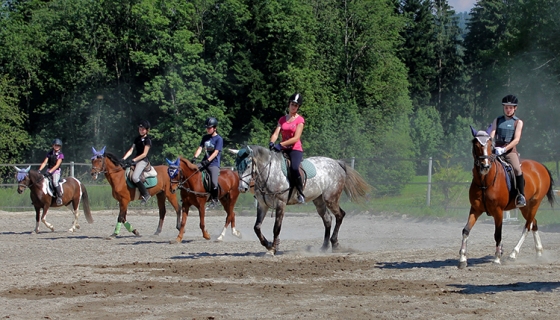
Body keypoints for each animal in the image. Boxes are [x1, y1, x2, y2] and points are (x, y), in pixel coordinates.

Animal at [230, 145, 370, 255]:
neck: (269, 173)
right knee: (327, 219)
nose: (242, 188)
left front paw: (273, 249)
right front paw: (268, 244)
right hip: (319, 200)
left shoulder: (281, 204)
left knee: (340, 215)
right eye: (237, 165)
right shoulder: (262, 205)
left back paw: (335, 244)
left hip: (330, 198)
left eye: (248, 165)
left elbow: (276, 228)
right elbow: (257, 227)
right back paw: (324, 247)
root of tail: (337, 163)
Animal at [460, 126, 556, 268]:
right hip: (524, 207)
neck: (485, 181)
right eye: (476, 144)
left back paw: (513, 254)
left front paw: (497, 258)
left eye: (490, 144)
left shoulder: (498, 211)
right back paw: (539, 252)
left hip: (535, 203)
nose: (485, 166)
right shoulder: (475, 209)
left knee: (527, 227)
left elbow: (498, 234)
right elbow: (466, 230)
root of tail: (541, 166)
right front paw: (462, 259)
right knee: (534, 223)